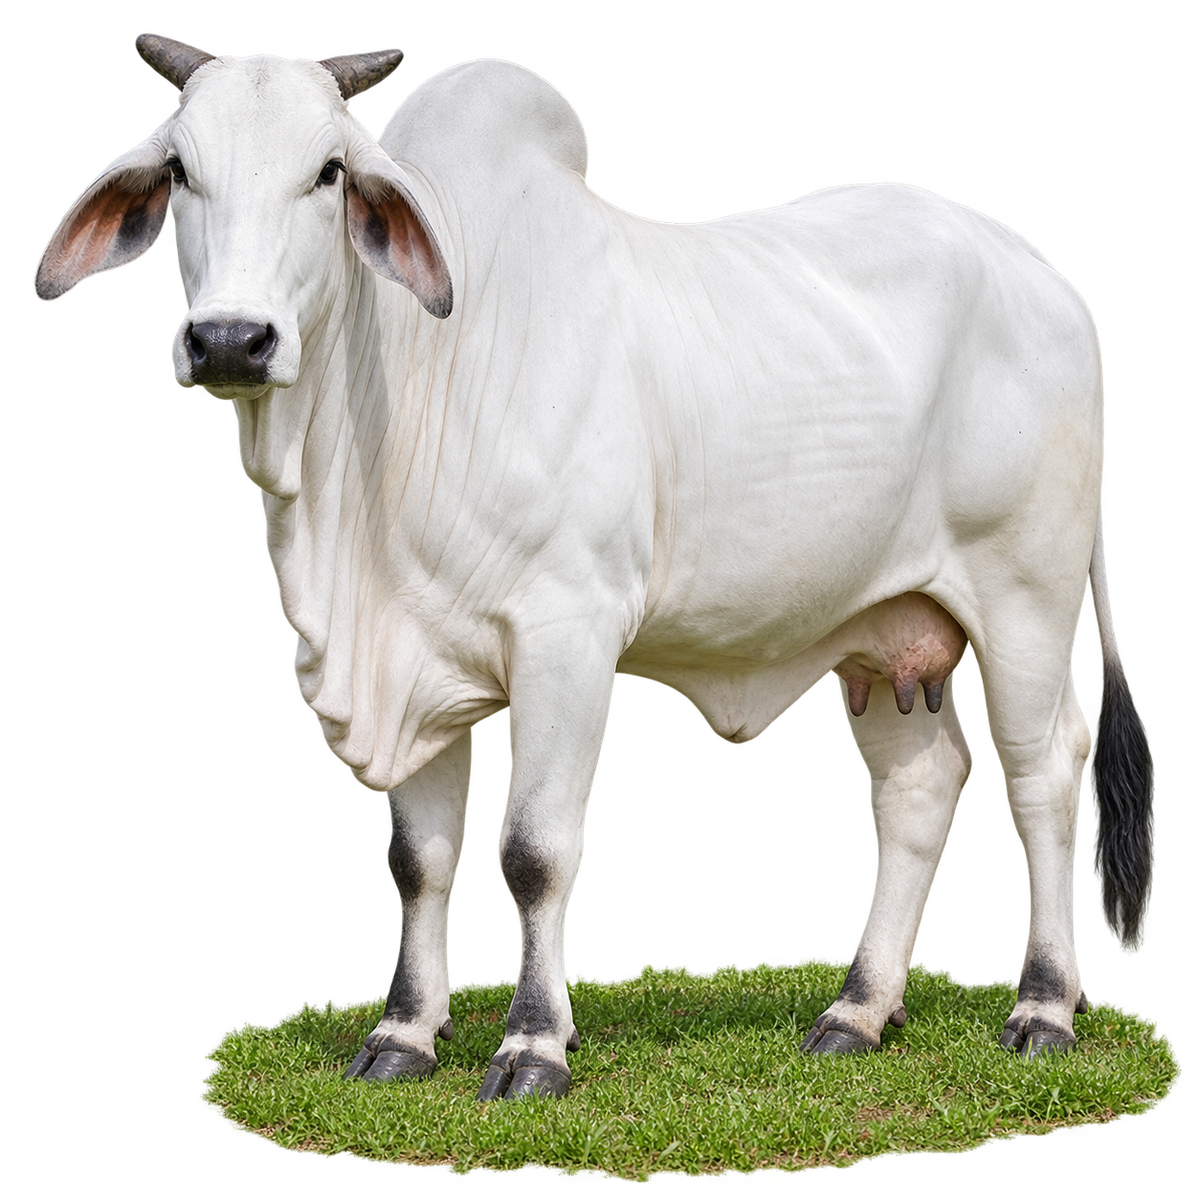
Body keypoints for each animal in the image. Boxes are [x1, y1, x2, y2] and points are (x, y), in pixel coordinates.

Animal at [32, 31, 1155, 1100]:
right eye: (180, 169)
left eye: (329, 171)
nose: (230, 339)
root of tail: (1051, 282)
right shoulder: (416, 656)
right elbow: (416, 859)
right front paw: (402, 1035)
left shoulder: (566, 636)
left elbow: (533, 850)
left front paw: (534, 1046)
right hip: (882, 631)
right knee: (920, 788)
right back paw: (858, 1013)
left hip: (1023, 601)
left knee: (1043, 774)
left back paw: (1046, 1009)